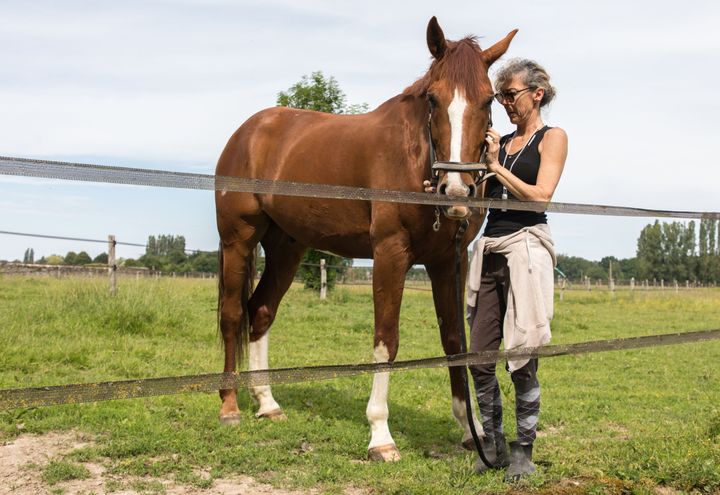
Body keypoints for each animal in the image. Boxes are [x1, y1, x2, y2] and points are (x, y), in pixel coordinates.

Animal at [214, 18, 516, 462]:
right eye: (433, 98)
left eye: (489, 98)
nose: (456, 191)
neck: (414, 156)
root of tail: (247, 132)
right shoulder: (390, 253)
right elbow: (386, 342)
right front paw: (380, 437)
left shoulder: (449, 261)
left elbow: (453, 341)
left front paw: (470, 430)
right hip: (238, 240)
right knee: (234, 314)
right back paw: (230, 406)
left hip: (288, 247)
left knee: (262, 310)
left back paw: (267, 403)